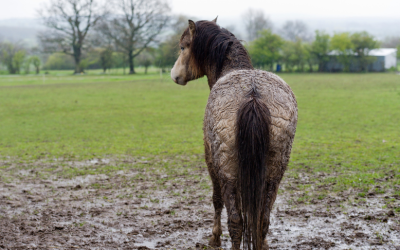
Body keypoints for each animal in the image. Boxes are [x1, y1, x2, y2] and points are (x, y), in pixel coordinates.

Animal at [169, 18, 296, 250]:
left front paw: (215, 237)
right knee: (262, 219)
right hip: (274, 174)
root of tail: (253, 96)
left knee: (236, 221)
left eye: (183, 47)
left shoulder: (210, 158)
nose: (174, 75)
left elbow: (216, 199)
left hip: (227, 172)